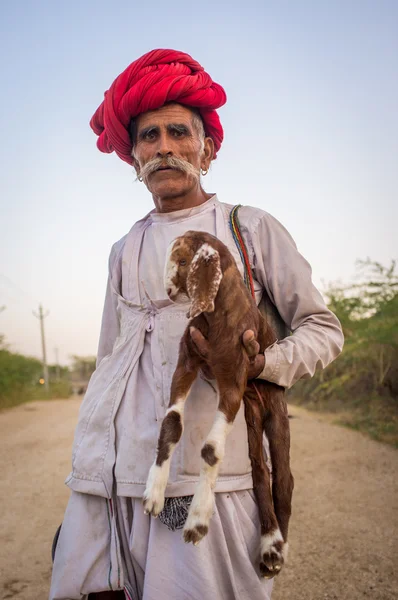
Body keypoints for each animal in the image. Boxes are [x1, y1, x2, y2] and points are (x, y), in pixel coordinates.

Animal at [143, 230, 292, 576]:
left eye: (184, 261)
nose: (168, 291)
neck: (215, 317)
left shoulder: (234, 381)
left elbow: (211, 449)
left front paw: (197, 521)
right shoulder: (188, 361)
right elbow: (171, 424)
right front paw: (154, 493)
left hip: (274, 408)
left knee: (283, 478)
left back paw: (275, 549)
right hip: (251, 415)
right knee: (259, 470)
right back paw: (268, 542)